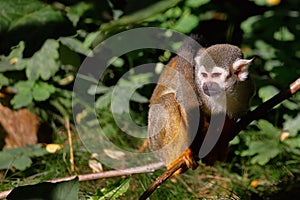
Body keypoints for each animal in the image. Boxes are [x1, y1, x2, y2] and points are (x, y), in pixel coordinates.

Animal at [147, 39, 253, 173]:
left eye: (216, 75)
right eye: (203, 75)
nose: (206, 85)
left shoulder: (246, 89)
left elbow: (230, 116)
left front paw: (219, 143)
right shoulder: (194, 85)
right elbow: (188, 108)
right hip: (155, 141)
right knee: (168, 100)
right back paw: (175, 160)